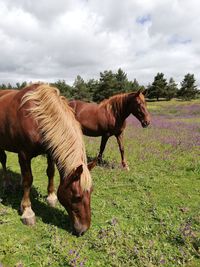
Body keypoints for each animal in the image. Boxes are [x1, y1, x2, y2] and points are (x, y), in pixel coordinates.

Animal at [0, 84, 95, 237]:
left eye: (91, 192)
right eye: (77, 197)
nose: (83, 229)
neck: (36, 117)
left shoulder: (50, 151)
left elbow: (50, 172)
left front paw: (51, 196)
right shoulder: (24, 154)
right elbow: (28, 180)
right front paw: (27, 211)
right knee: (3, 160)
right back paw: (7, 183)